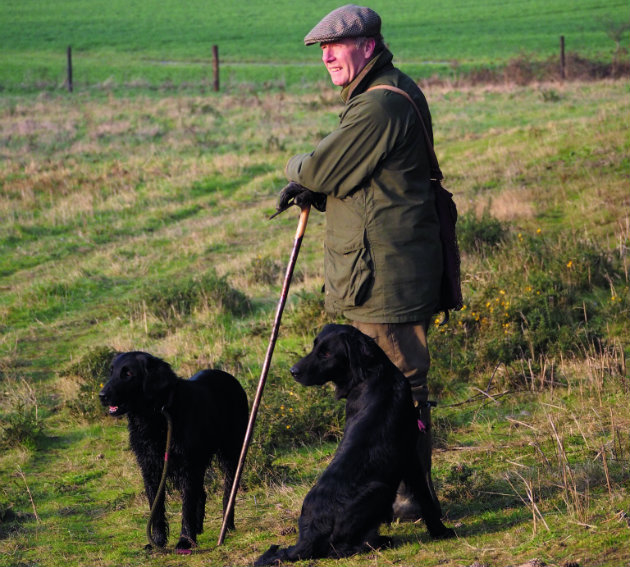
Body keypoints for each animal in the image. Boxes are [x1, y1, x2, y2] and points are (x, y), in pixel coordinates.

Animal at [99, 350, 249, 556]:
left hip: (231, 453)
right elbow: (156, 508)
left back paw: (227, 525)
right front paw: (157, 541)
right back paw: (198, 528)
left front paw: (184, 541)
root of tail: (231, 378)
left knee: (228, 491)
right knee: (201, 493)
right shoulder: (151, 469)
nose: (102, 395)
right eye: (112, 371)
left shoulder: (187, 467)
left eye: (128, 373)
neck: (156, 416)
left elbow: (186, 507)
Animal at [256, 326, 454, 564]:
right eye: (316, 348)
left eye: (326, 353)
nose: (293, 371)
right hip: (379, 489)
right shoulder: (409, 456)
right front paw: (441, 531)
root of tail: (307, 537)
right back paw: (380, 541)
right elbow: (425, 498)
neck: (374, 375)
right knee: (338, 549)